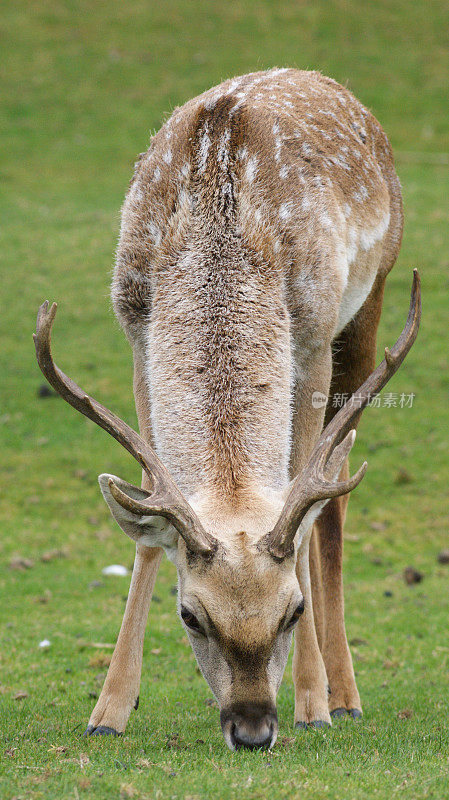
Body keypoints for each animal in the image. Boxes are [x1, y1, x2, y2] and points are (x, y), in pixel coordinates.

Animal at [33, 69, 418, 752]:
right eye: (190, 615)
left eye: (292, 610)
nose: (253, 727)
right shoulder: (138, 331)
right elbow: (148, 513)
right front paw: (109, 710)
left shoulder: (311, 336)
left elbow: (304, 513)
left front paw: (312, 702)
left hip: (372, 295)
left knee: (334, 500)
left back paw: (344, 696)